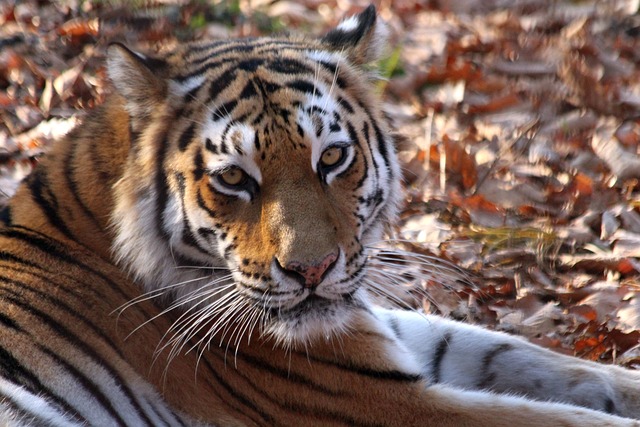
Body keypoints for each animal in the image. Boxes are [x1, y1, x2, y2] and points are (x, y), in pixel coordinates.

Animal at [1, 5, 640, 427]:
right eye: (233, 178)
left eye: (331, 158)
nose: (310, 271)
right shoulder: (376, 398)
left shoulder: (372, 327)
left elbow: (521, 355)